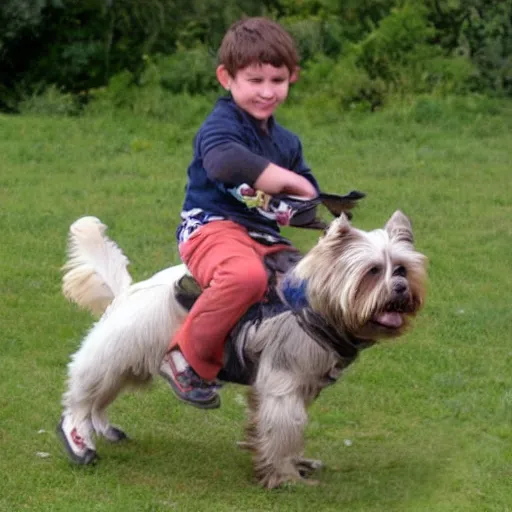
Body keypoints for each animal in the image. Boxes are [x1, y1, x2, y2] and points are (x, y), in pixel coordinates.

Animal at [57, 211, 428, 488]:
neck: (313, 305)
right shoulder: (282, 386)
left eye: (401, 268)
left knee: (99, 400)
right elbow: (285, 428)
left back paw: (105, 429)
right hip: (111, 358)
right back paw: (79, 442)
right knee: (80, 399)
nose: (400, 288)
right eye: (373, 271)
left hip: (128, 367)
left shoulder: (300, 385)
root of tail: (127, 292)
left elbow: (282, 428)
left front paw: (290, 462)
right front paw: (285, 477)